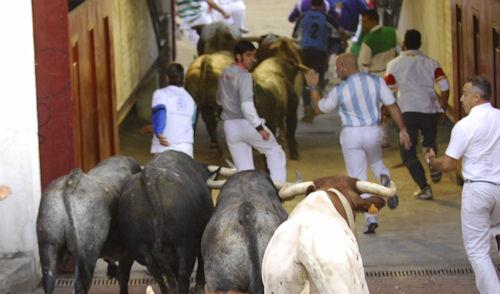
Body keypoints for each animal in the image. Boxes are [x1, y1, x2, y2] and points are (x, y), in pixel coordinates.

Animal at [36, 155, 141, 292]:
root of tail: (72, 181)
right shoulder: (127, 254)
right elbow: (123, 278)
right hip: (88, 252)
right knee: (81, 285)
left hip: (48, 246)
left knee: (48, 281)